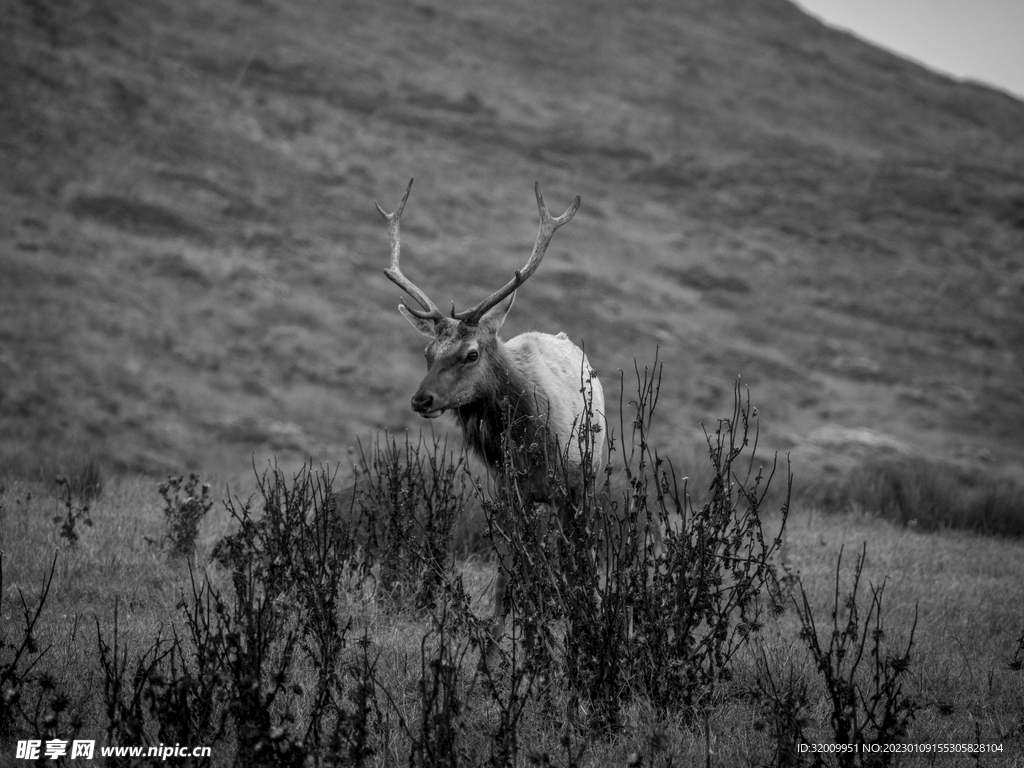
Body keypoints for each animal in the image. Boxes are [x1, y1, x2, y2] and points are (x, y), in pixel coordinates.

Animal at [376, 178, 606, 664]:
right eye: (427, 351)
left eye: (471, 354)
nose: (421, 399)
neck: (529, 440)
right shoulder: (508, 492)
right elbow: (507, 575)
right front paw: (497, 649)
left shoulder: (570, 488)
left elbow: (569, 565)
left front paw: (569, 636)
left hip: (589, 482)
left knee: (581, 558)